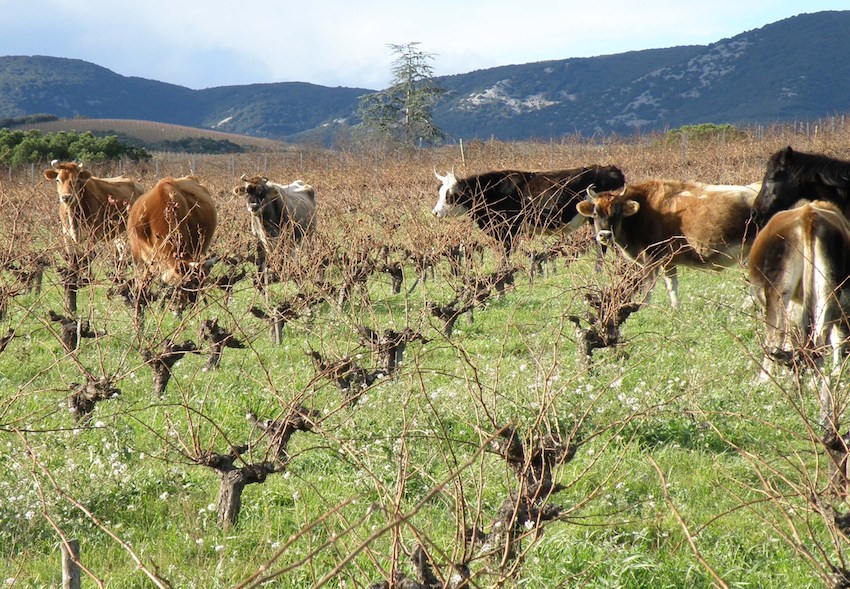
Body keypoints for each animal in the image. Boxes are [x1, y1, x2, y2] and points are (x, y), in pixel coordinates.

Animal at [430, 165, 624, 258]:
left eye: (450, 195)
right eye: (439, 192)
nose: (435, 212)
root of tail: (611, 169)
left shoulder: (509, 230)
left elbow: (506, 255)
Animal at [572, 179, 760, 308]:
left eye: (616, 212)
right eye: (595, 213)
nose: (604, 235)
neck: (645, 209)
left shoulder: (652, 258)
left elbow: (648, 287)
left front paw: (641, 308)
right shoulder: (668, 261)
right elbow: (672, 285)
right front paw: (675, 308)